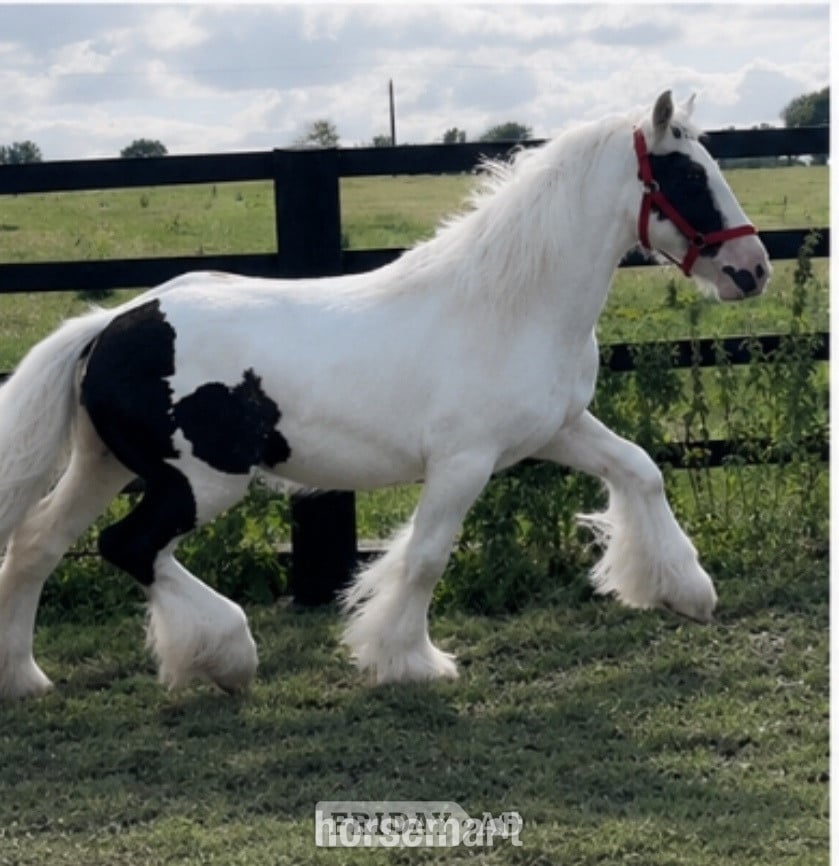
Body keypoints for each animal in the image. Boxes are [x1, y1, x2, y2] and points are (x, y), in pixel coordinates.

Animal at [0, 90, 770, 699]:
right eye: (687, 174)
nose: (752, 269)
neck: (508, 308)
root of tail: (110, 325)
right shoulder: (463, 461)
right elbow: (426, 556)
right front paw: (408, 661)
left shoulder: (559, 428)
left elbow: (641, 469)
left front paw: (685, 592)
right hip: (200, 481)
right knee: (130, 548)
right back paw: (228, 656)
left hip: (105, 465)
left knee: (40, 542)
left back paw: (26, 679)